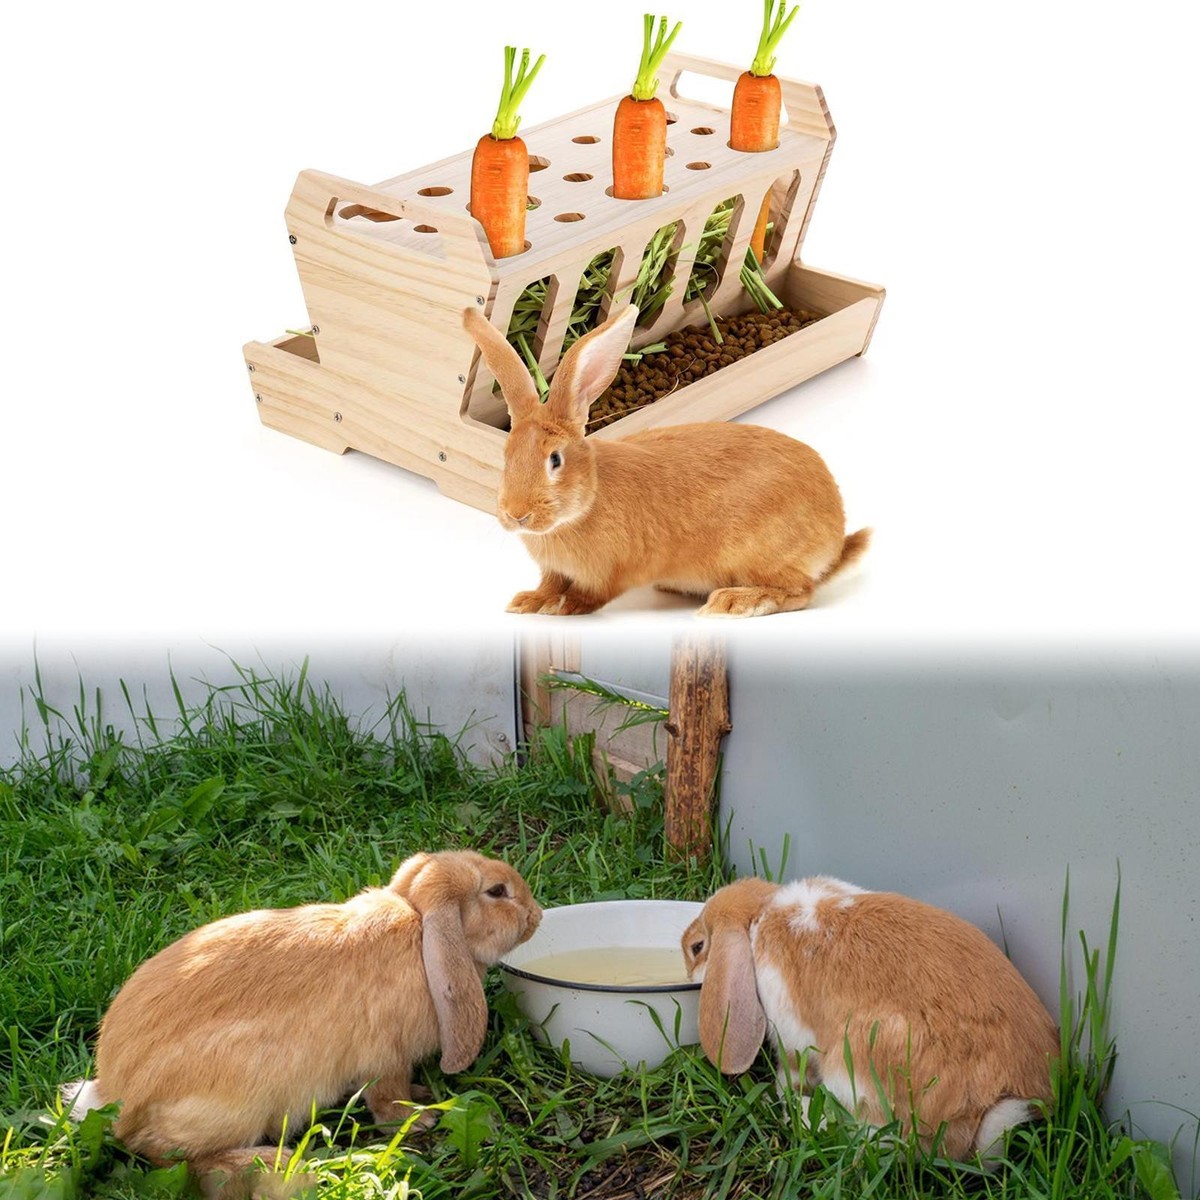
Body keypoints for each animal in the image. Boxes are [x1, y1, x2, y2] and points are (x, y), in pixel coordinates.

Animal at [64, 850, 541, 1197]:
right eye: (497, 891)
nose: (536, 916)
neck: (420, 923)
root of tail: (114, 1097)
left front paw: (421, 1097)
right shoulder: (385, 1057)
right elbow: (385, 1099)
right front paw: (416, 1120)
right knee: (163, 1153)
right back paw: (261, 1162)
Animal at [462, 303, 870, 618]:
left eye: (555, 460)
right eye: (506, 458)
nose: (517, 515)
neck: (586, 502)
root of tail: (835, 536)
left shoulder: (610, 571)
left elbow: (590, 595)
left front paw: (561, 606)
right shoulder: (554, 570)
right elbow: (549, 583)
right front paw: (528, 601)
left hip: (758, 554)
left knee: (800, 590)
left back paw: (733, 603)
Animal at [682, 876, 1059, 1162]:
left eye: (698, 947)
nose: (689, 972)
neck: (762, 912)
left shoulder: (791, 1038)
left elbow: (791, 1071)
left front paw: (783, 1093)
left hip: (856, 1064)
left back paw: (801, 1115)